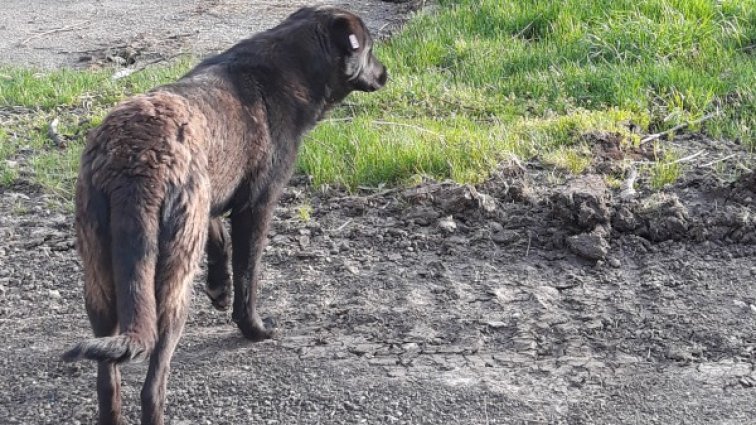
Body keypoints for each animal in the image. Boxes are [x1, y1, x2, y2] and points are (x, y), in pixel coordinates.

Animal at [62, 7, 386, 424]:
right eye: (370, 48)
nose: (385, 73)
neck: (287, 66)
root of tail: (134, 163)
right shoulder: (256, 206)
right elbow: (248, 273)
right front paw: (254, 328)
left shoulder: (208, 200)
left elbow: (219, 241)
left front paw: (218, 289)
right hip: (172, 286)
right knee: (153, 385)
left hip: (101, 279)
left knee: (108, 381)